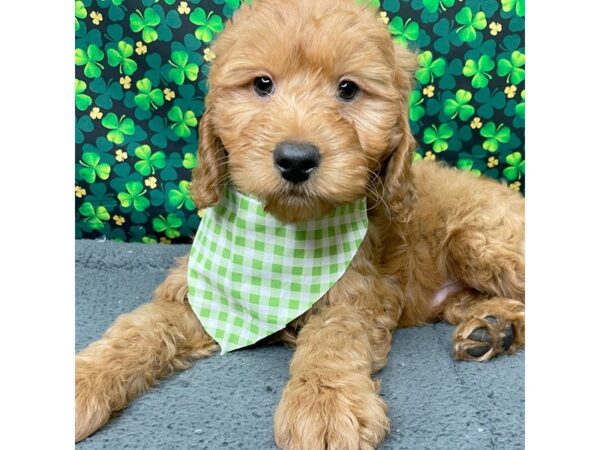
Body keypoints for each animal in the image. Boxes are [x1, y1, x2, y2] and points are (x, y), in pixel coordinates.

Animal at [76, 0, 524, 446]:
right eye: (262, 84)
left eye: (348, 89)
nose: (295, 159)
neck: (284, 231)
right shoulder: (202, 296)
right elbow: (141, 328)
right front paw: (85, 379)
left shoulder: (359, 294)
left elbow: (333, 337)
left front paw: (326, 403)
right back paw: (493, 328)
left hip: (478, 239)